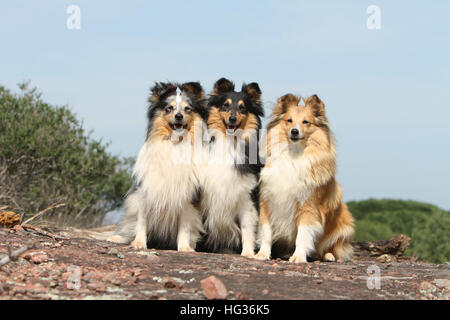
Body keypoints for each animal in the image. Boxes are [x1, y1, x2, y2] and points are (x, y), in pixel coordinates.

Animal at [108, 81, 208, 251]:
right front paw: (139, 243)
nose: (179, 116)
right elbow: (141, 221)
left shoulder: (188, 196)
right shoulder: (146, 190)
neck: (175, 143)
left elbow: (185, 226)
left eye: (187, 109)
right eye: (169, 108)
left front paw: (184, 248)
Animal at [200, 78, 264, 258]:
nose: (232, 119)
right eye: (225, 105)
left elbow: (248, 227)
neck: (230, 143)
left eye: (242, 107)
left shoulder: (248, 197)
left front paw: (248, 253)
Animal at [253, 93, 356, 262]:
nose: (294, 131)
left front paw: (298, 257)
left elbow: (302, 235)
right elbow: (266, 232)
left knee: (330, 247)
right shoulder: (267, 202)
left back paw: (328, 256)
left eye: (306, 122)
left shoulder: (308, 206)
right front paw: (262, 254)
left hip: (344, 223)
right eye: (289, 120)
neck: (294, 154)